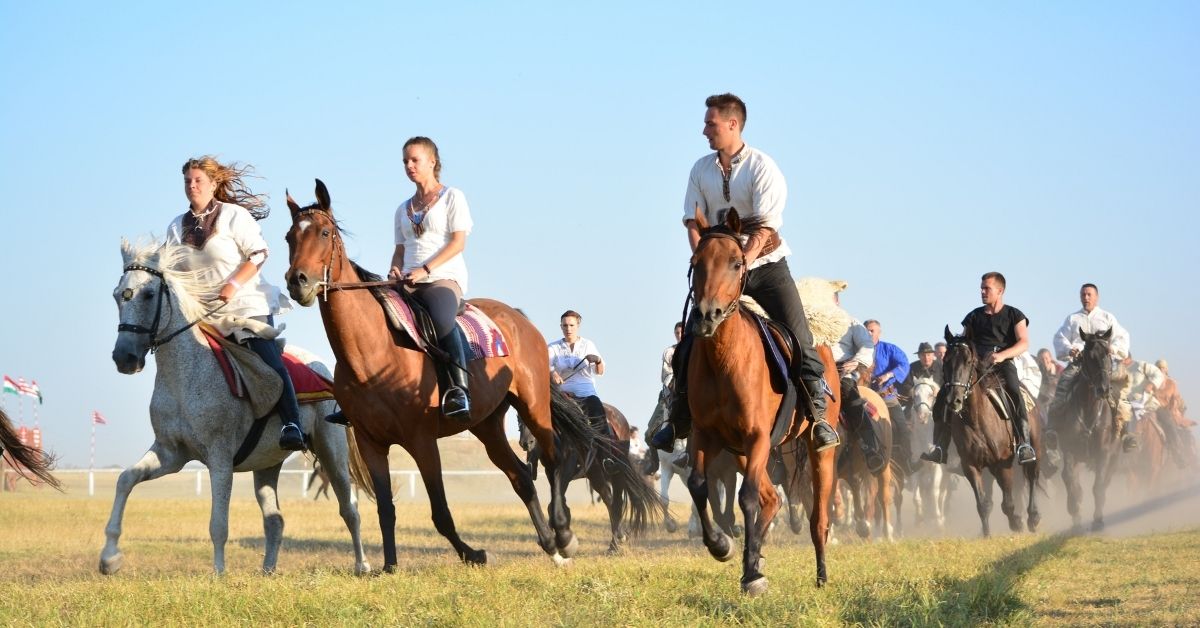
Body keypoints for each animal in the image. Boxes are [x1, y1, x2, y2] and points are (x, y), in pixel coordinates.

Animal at [103, 240, 369, 573]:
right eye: (117, 294)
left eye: (149, 294)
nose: (124, 357)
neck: (185, 375)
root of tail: (322, 367)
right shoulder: (170, 454)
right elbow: (125, 480)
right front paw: (109, 558)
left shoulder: (219, 459)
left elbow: (218, 523)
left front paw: (218, 573)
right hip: (268, 463)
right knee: (275, 520)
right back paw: (268, 571)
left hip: (331, 451)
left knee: (350, 510)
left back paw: (362, 566)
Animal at [282, 180, 638, 569]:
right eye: (289, 236)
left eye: (324, 232)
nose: (298, 281)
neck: (372, 353)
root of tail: (517, 318)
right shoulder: (370, 441)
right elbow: (386, 509)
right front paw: (389, 566)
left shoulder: (422, 440)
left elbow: (440, 512)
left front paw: (474, 553)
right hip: (487, 424)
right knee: (521, 476)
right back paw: (550, 544)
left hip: (532, 404)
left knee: (555, 457)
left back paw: (563, 534)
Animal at [681, 208, 840, 597]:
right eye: (695, 263)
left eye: (737, 263)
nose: (706, 316)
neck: (725, 359)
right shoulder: (707, 436)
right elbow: (698, 485)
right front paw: (722, 547)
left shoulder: (757, 437)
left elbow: (748, 497)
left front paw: (752, 576)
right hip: (741, 449)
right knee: (773, 499)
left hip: (815, 451)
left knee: (817, 517)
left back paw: (820, 575)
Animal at [945, 326, 1041, 537]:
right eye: (946, 360)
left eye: (969, 361)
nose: (954, 400)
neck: (977, 420)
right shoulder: (971, 466)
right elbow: (983, 504)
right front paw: (987, 534)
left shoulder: (1003, 463)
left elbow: (1008, 504)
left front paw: (1017, 524)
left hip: (1035, 449)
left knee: (1032, 476)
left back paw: (1033, 518)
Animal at [1060, 329, 1123, 530]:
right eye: (1089, 356)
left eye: (1108, 353)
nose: (1103, 389)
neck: (1088, 410)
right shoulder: (1069, 450)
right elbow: (1070, 480)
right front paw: (1075, 512)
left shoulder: (1104, 452)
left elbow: (1099, 485)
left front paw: (1098, 519)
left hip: (1114, 457)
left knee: (1106, 480)